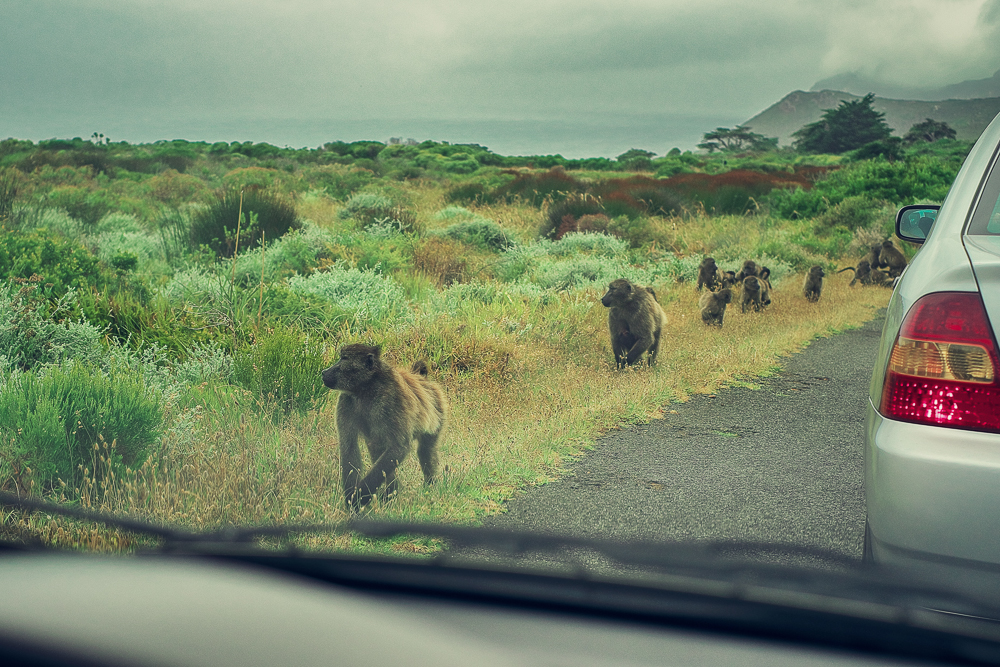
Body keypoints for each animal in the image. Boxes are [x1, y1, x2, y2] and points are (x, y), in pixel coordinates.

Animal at [321, 344, 447, 511]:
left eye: (344, 358)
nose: (324, 372)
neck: (366, 388)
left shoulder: (393, 399)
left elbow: (399, 447)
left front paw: (360, 497)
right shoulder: (346, 401)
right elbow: (349, 447)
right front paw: (352, 501)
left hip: (437, 413)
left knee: (425, 450)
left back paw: (430, 486)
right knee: (379, 452)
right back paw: (391, 493)